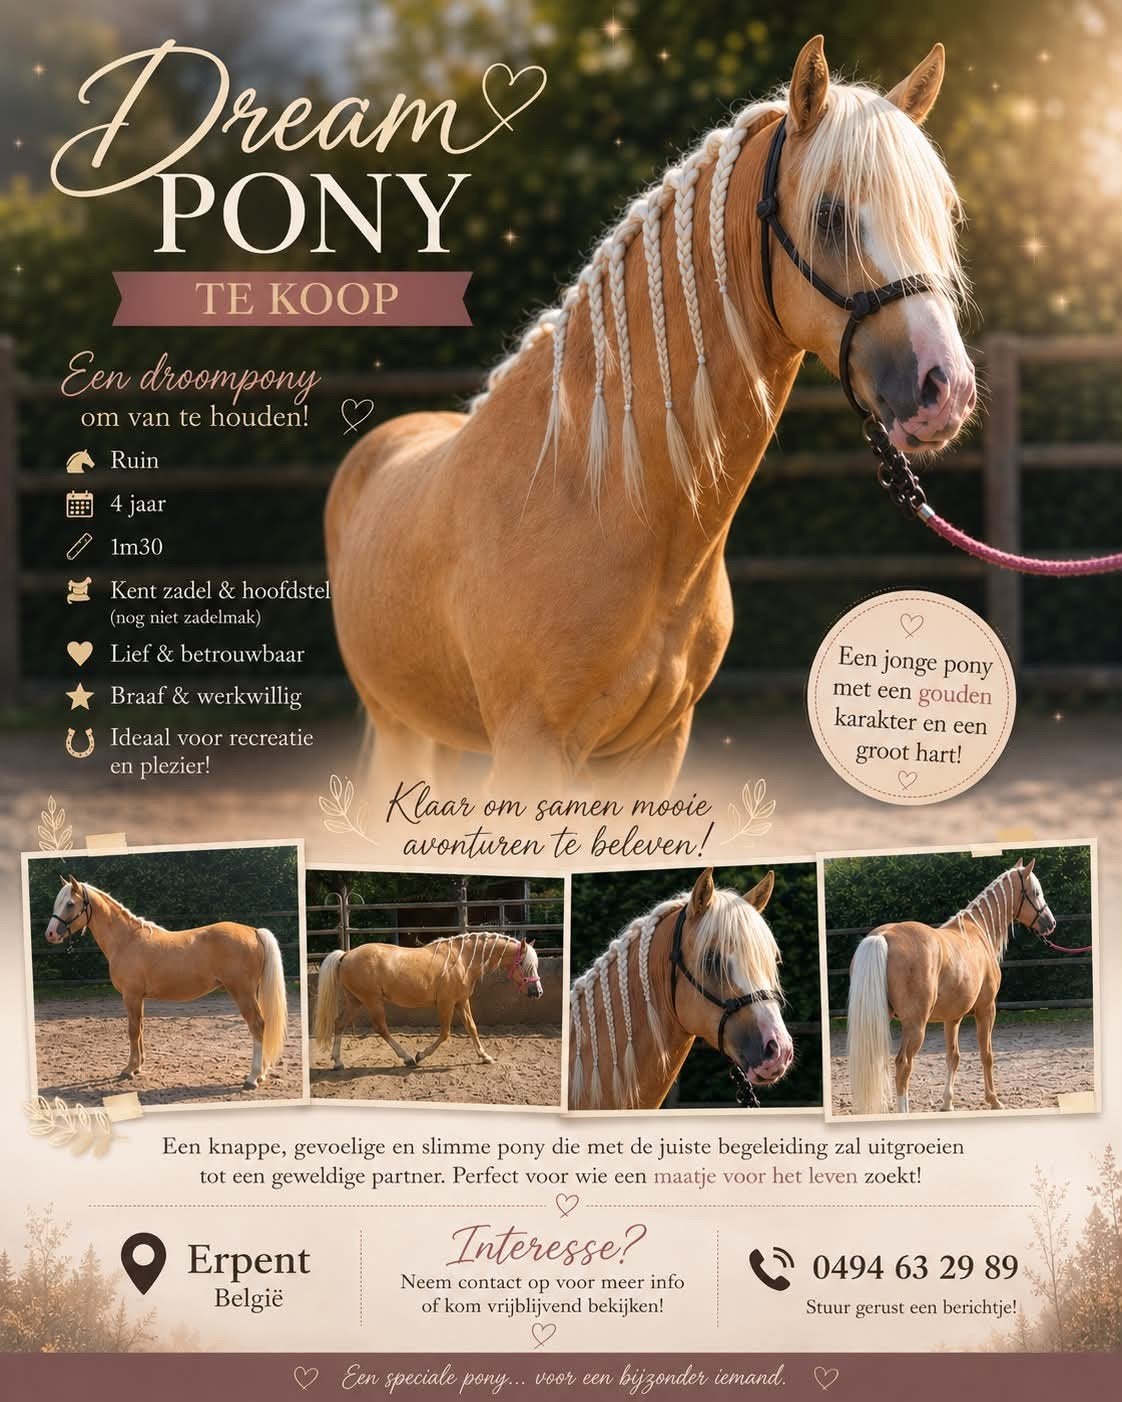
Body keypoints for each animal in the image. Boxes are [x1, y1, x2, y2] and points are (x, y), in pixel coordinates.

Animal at [44, 876, 288, 1089]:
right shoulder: (138, 998)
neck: (126, 940)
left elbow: (132, 1030)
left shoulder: (131, 996)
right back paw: (262, 1074)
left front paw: (129, 1069)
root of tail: (254, 931)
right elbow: (140, 1028)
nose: (50, 934)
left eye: (70, 903)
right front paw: (138, 1067)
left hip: (242, 993)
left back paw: (253, 1077)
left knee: (257, 1026)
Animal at [313, 932, 542, 1070]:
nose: (537, 992)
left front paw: (485, 1056)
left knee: (339, 1024)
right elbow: (445, 1033)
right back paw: (407, 1058)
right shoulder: (446, 1003)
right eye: (524, 964)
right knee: (381, 1028)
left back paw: (338, 1062)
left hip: (356, 1001)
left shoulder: (461, 1001)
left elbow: (472, 1028)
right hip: (372, 1001)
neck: (462, 960)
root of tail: (346, 955)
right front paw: (420, 1056)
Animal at [326, 36, 975, 797]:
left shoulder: (656, 748)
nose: (944, 387)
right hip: (398, 730)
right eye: (829, 215)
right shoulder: (529, 751)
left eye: (943, 213)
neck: (593, 492)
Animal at [845, 858, 1057, 1115]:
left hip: (879, 1018)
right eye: (1035, 892)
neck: (978, 929)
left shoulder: (952, 1018)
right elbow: (986, 1055)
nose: (1050, 923)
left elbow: (952, 1057)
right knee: (903, 1064)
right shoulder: (987, 1009)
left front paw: (947, 1103)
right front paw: (994, 1100)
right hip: (915, 1025)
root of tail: (883, 936)